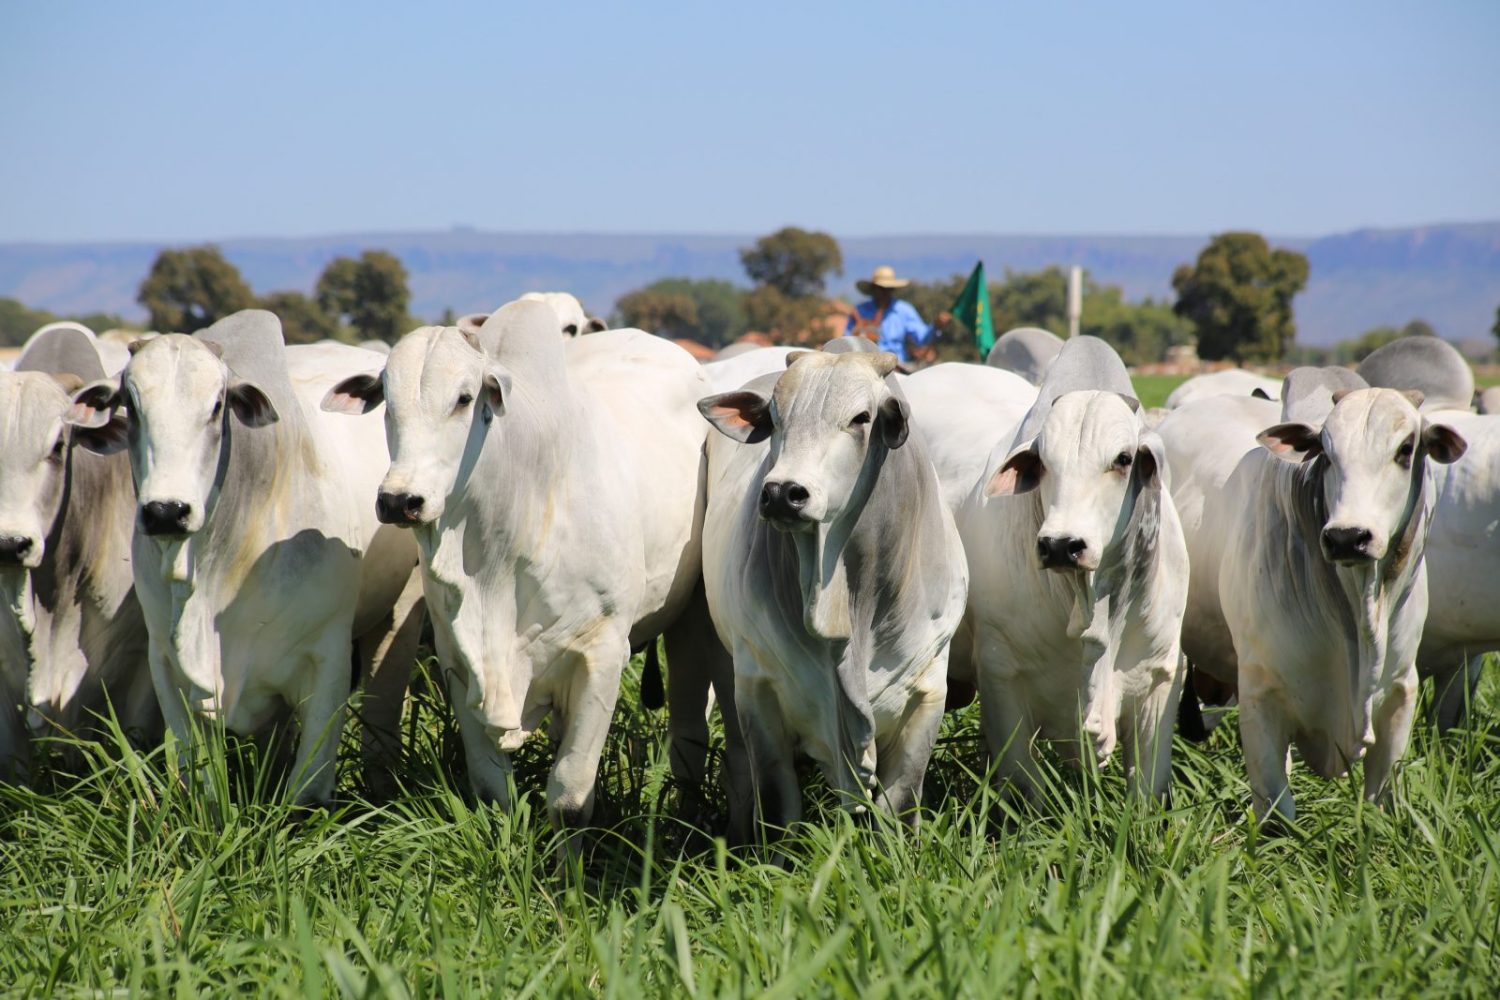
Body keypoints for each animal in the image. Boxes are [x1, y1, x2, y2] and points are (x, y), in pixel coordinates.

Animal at [69, 313, 420, 803]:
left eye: (218, 405)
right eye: (132, 406)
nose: (166, 511)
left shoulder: (326, 662)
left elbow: (306, 795)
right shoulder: (166, 667)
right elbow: (202, 786)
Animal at [906, 340, 1188, 803]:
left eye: (1123, 459)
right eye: (1042, 463)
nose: (1060, 545)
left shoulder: (1161, 680)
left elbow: (1147, 788)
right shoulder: (1002, 680)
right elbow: (1029, 789)